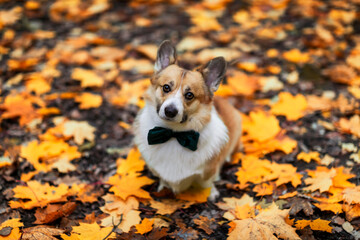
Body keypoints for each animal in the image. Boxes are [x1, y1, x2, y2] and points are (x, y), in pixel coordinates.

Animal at [134, 40, 242, 200]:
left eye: (189, 95)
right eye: (166, 87)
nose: (170, 111)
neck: (174, 134)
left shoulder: (208, 171)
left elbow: (207, 182)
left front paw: (211, 194)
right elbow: (163, 179)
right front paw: (163, 188)